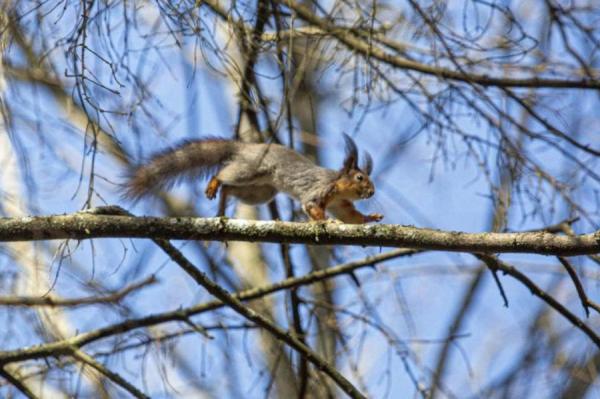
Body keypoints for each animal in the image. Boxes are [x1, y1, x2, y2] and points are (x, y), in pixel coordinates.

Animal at [124, 135, 382, 223]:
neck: (339, 188)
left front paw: (370, 218)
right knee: (224, 175)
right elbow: (310, 205)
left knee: (230, 189)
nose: (372, 192)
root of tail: (246, 147)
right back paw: (214, 183)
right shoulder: (321, 188)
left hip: (261, 191)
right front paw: (325, 221)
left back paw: (221, 207)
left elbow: (351, 218)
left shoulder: (341, 204)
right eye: (360, 177)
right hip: (250, 170)